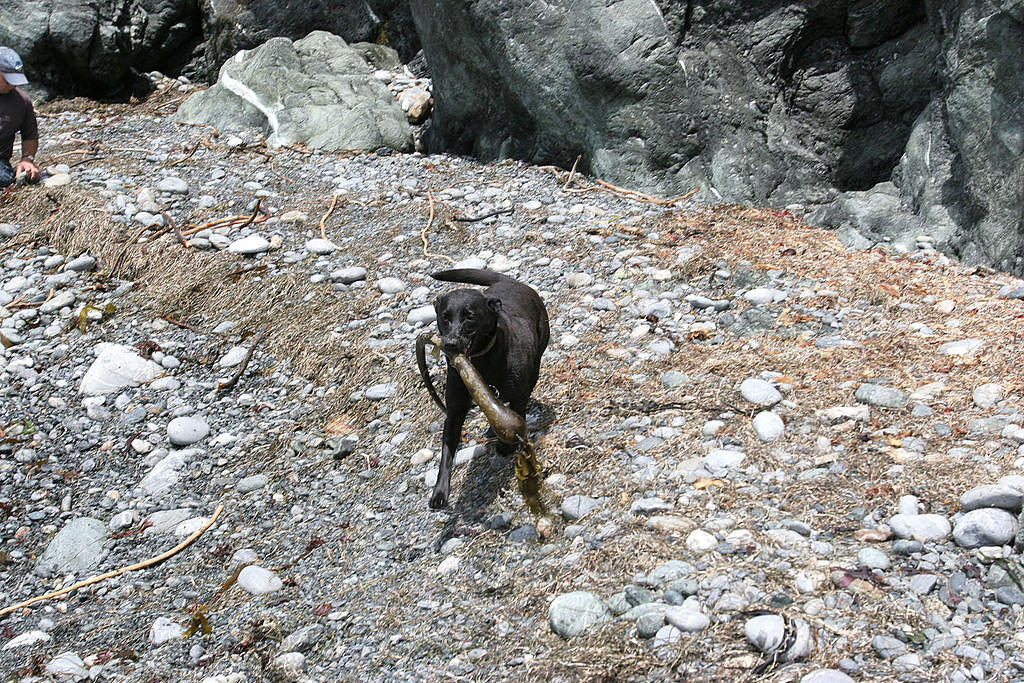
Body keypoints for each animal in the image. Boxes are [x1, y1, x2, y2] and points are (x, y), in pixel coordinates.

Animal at [423, 270, 552, 509]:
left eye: (469, 316)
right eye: (445, 317)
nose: (450, 343)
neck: (481, 363)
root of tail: (509, 281)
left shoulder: (518, 397)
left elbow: (516, 415)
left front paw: (505, 446)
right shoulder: (454, 413)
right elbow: (446, 453)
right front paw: (440, 492)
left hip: (537, 360)